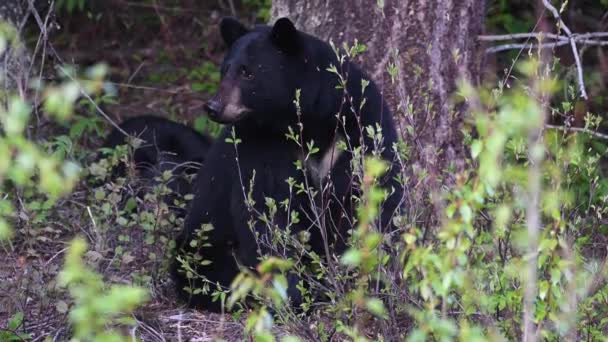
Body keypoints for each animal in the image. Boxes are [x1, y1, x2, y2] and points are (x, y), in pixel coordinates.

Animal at [171, 17, 402, 312]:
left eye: (248, 73)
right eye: (224, 70)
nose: (213, 107)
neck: (308, 122)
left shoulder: (358, 127)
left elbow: (367, 197)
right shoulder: (262, 146)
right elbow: (267, 210)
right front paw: (292, 293)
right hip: (202, 243)